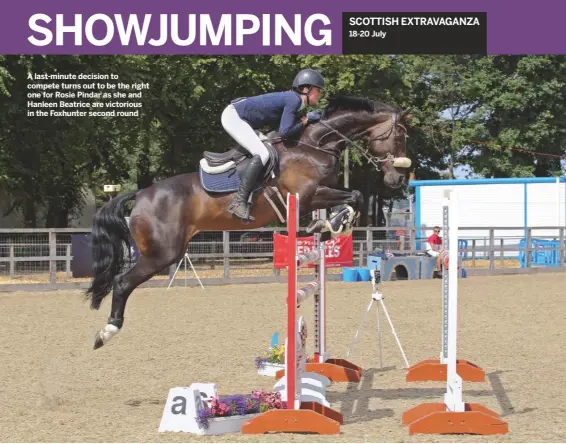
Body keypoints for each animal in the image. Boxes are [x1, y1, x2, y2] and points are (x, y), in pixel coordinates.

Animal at [84, 95, 412, 348]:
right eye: (400, 136)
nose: (398, 179)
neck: (314, 145)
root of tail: (141, 194)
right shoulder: (307, 197)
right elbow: (355, 195)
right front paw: (333, 224)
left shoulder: (318, 194)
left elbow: (354, 196)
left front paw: (330, 226)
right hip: (163, 253)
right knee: (122, 282)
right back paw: (105, 332)